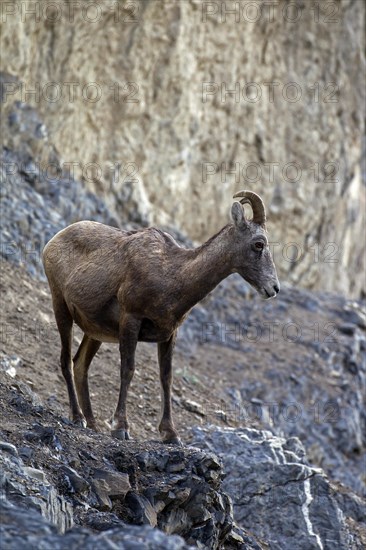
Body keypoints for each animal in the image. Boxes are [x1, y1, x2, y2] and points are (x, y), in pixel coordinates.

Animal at [41, 190, 278, 444]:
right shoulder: (131, 320)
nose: (273, 288)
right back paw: (78, 418)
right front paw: (120, 428)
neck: (171, 275)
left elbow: (167, 378)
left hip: (94, 332)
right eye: (258, 244)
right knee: (66, 361)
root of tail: (53, 242)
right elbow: (128, 370)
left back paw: (92, 423)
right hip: (60, 307)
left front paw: (170, 434)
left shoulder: (169, 335)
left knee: (80, 365)